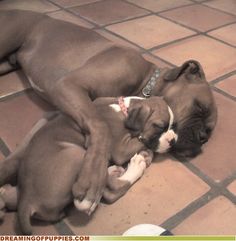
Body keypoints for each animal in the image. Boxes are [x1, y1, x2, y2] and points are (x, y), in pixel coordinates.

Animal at [0, 95, 177, 233]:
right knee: (111, 190)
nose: (174, 140)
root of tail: (26, 198)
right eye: (159, 126)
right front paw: (148, 149)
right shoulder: (120, 149)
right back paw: (136, 165)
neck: (124, 109)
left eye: (173, 126)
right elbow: (140, 142)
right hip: (78, 154)